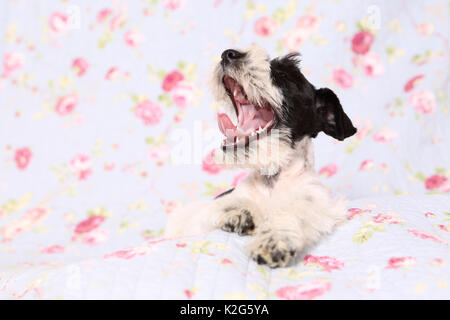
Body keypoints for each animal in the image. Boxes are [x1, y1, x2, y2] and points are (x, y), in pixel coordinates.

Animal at [163, 44, 356, 268]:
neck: (271, 178)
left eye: (283, 75)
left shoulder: (319, 202)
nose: (228, 54)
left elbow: (296, 212)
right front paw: (238, 213)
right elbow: (212, 209)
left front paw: (273, 240)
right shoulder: (196, 217)